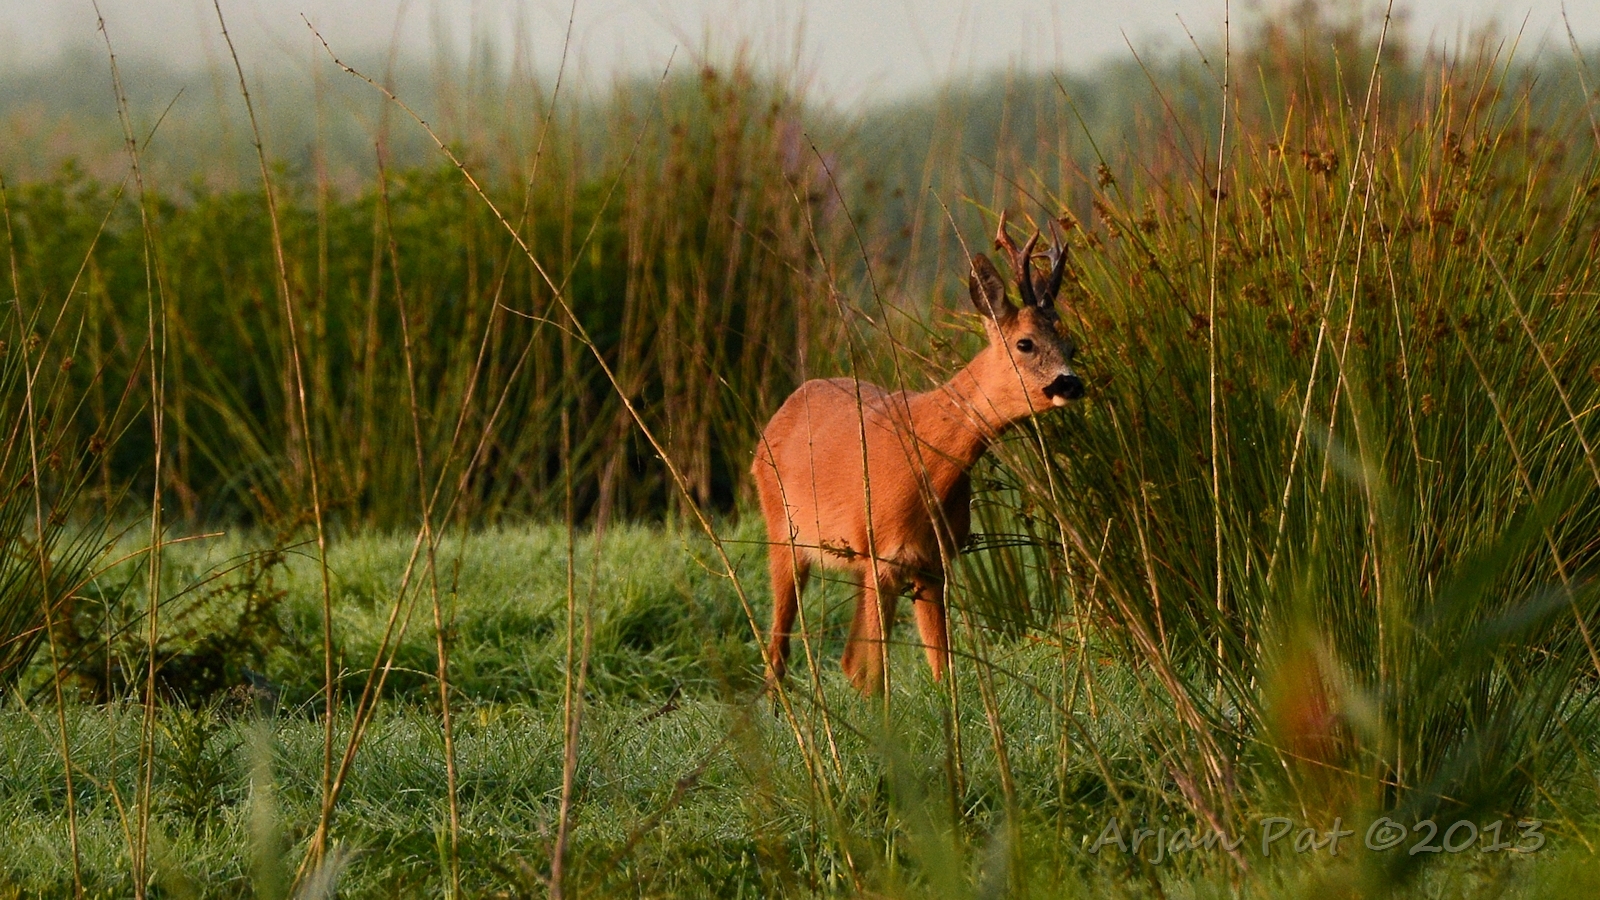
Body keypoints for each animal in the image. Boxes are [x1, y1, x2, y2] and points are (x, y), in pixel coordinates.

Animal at [751, 214, 1084, 695]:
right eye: (1025, 343)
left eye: (1072, 346)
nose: (1071, 383)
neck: (926, 462)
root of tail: (780, 414)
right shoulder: (881, 553)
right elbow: (878, 669)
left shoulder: (932, 560)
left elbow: (940, 664)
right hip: (783, 530)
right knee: (779, 648)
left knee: (846, 658)